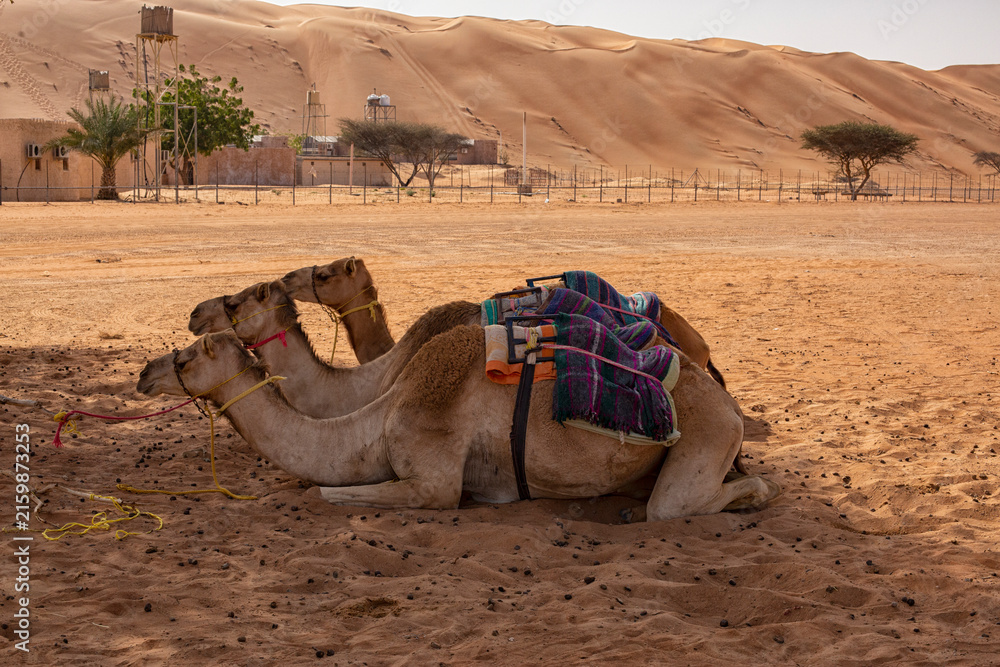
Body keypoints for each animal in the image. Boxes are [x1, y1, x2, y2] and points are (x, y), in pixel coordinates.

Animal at [136, 328, 780, 520]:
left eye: (188, 358)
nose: (144, 372)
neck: (380, 415)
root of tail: (727, 401)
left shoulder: (435, 480)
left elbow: (326, 491)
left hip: (706, 432)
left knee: (676, 505)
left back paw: (749, 496)